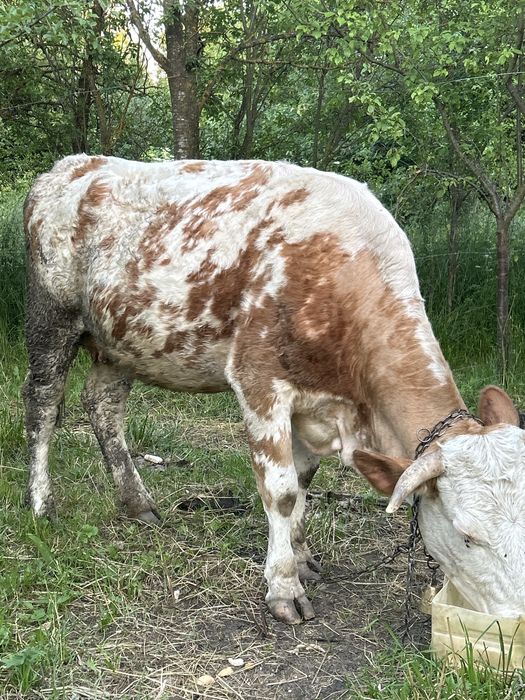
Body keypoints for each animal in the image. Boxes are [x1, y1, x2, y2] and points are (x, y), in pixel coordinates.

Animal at [23, 154, 525, 625]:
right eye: (466, 535)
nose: (514, 619)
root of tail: (70, 166)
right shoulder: (260, 382)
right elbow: (281, 490)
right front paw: (283, 588)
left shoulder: (313, 402)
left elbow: (303, 481)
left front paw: (300, 558)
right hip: (52, 318)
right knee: (42, 405)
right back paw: (41, 503)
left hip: (122, 341)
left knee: (103, 405)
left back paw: (137, 503)